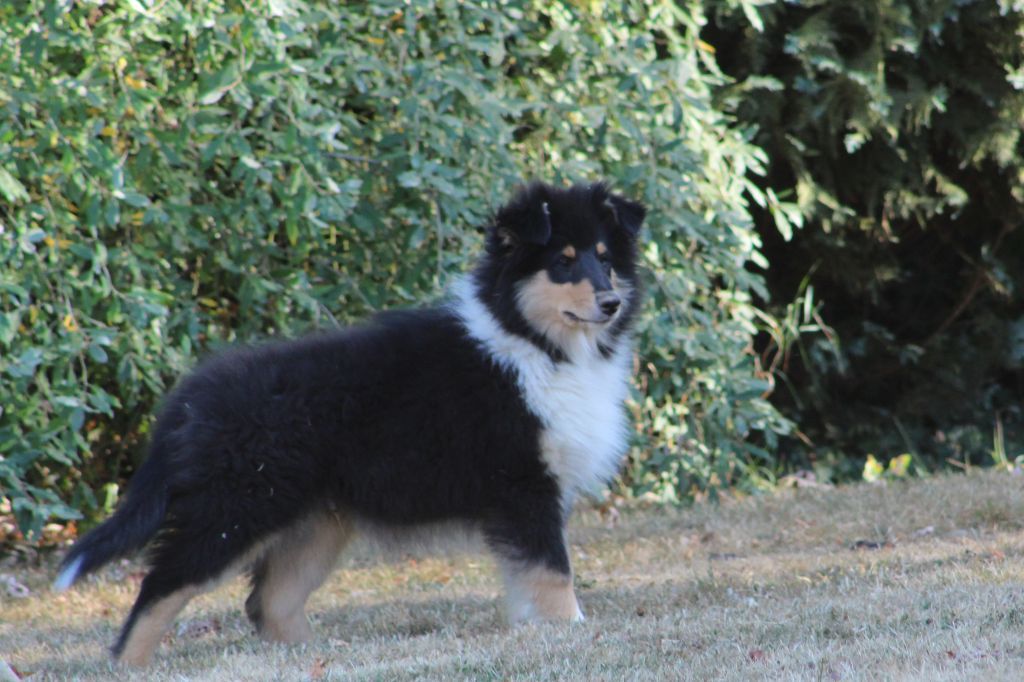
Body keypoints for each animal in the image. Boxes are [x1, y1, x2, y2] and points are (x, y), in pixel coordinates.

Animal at [51, 180, 643, 663]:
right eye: (563, 262)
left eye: (604, 258)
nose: (611, 302)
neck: (533, 342)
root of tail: (188, 401)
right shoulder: (524, 484)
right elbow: (554, 572)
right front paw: (574, 631)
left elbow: (533, 577)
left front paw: (543, 632)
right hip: (233, 508)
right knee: (161, 588)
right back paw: (129, 664)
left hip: (314, 522)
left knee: (268, 601)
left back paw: (315, 657)